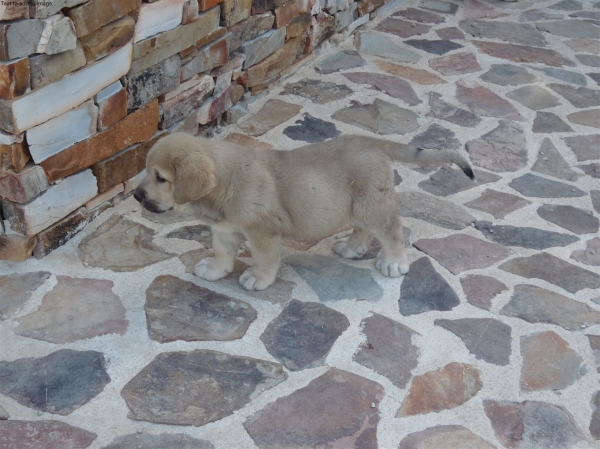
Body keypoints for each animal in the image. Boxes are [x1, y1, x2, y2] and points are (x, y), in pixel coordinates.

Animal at [135, 131, 474, 288]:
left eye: (161, 178)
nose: (137, 195)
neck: (223, 187)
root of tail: (374, 142)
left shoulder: (263, 232)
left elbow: (264, 259)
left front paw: (258, 279)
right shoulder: (225, 230)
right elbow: (222, 252)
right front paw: (216, 270)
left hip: (372, 205)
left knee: (391, 230)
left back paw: (393, 263)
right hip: (358, 205)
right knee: (363, 229)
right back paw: (352, 248)